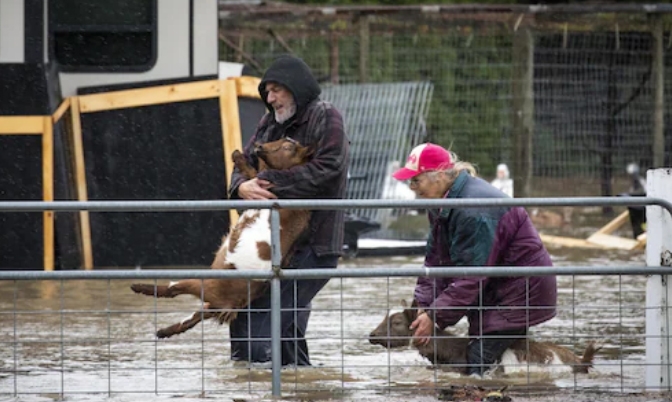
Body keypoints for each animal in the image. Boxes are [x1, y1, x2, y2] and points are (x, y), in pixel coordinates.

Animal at [131, 138, 316, 340]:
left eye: (288, 147)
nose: (259, 146)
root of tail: (230, 304)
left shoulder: (268, 190)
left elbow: (254, 172)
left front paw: (237, 156)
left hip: (203, 283)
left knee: (173, 290)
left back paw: (138, 287)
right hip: (210, 306)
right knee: (192, 319)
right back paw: (163, 332)